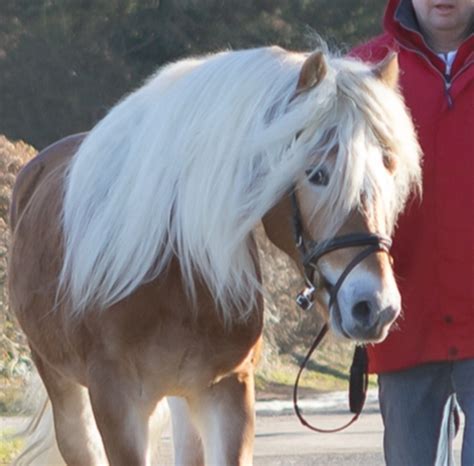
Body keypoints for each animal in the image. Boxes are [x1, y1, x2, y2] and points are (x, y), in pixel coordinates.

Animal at [7, 44, 420, 466]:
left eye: (389, 170)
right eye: (317, 174)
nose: (375, 306)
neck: (172, 268)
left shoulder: (227, 391)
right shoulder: (117, 404)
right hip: (63, 386)